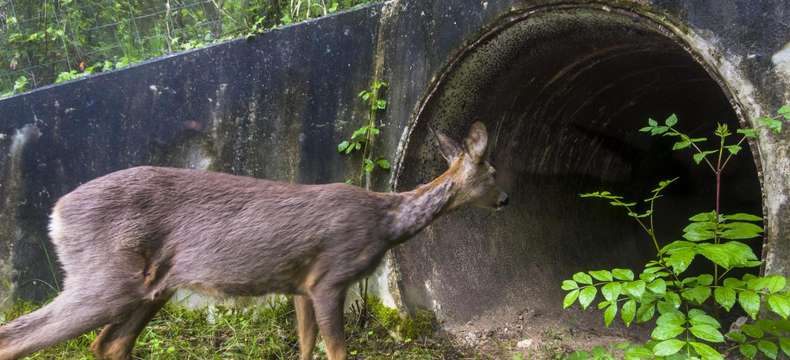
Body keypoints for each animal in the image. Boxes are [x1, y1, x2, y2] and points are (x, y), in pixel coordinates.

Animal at [0, 121, 508, 360]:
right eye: (492, 171)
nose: (506, 198)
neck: (385, 222)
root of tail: (56, 215)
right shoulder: (330, 276)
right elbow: (337, 350)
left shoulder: (301, 285)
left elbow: (305, 347)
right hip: (102, 278)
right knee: (20, 336)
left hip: (151, 287)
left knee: (108, 345)